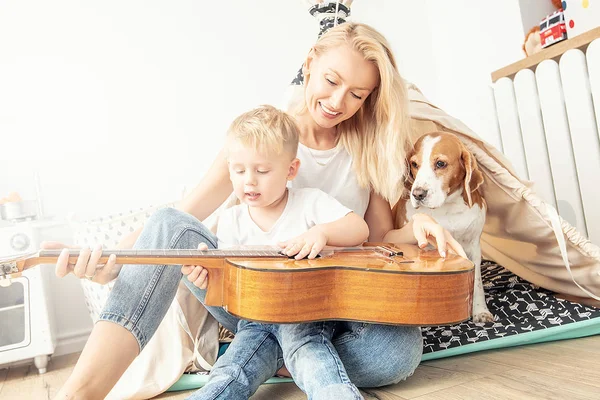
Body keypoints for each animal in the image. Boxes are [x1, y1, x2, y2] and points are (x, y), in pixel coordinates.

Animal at [392, 133, 494, 324]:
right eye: (414, 164)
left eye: (440, 163)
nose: (417, 194)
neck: (447, 208)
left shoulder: (473, 248)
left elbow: (476, 283)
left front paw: (480, 311)